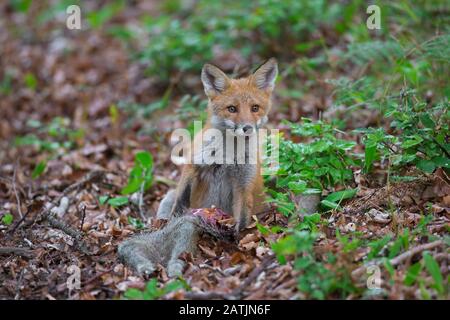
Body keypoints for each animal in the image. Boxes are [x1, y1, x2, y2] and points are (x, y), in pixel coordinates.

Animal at [158, 58, 278, 232]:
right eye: (232, 109)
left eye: (255, 108)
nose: (247, 128)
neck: (228, 154)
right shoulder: (193, 164)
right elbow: (181, 200)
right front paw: (174, 220)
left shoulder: (243, 184)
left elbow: (242, 217)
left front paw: (235, 235)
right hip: (168, 197)